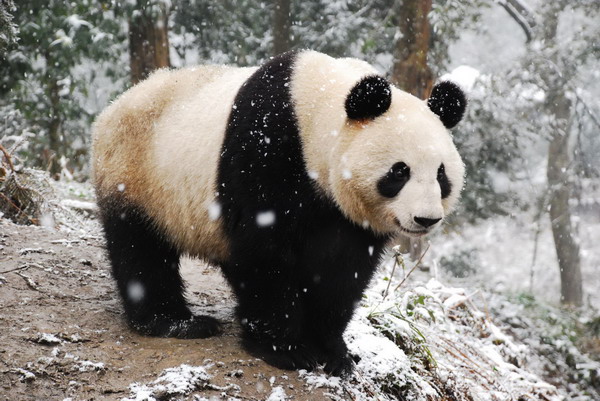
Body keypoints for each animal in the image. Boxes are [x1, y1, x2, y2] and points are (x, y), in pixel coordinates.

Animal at [94, 49, 466, 376]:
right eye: (399, 172)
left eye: (441, 174)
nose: (426, 219)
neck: (314, 114)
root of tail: (114, 106)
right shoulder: (267, 152)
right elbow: (264, 255)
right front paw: (285, 349)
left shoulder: (343, 216)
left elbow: (340, 270)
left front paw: (333, 352)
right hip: (136, 170)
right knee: (140, 249)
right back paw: (176, 322)